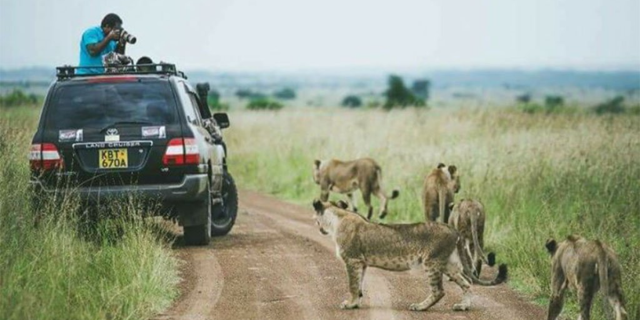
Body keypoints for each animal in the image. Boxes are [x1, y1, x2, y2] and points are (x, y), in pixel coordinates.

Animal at [312, 199, 508, 312]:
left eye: (315, 219)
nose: (319, 228)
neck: (336, 218)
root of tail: (453, 229)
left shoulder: (352, 260)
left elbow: (353, 284)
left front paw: (349, 304)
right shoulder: (362, 262)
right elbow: (359, 284)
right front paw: (356, 303)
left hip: (432, 261)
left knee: (439, 290)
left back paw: (419, 307)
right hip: (449, 264)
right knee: (467, 283)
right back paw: (463, 306)